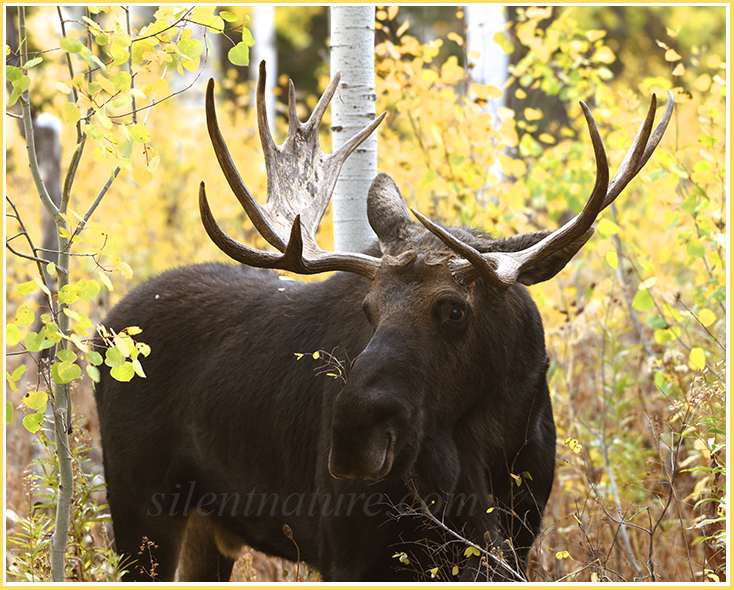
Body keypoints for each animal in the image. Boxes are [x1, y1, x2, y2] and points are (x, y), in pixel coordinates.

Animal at [94, 62, 672, 582]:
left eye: (455, 309)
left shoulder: (517, 542)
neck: (483, 453)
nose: (352, 435)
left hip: (207, 531)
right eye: (369, 309)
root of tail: (105, 330)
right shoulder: (346, 552)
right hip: (139, 512)